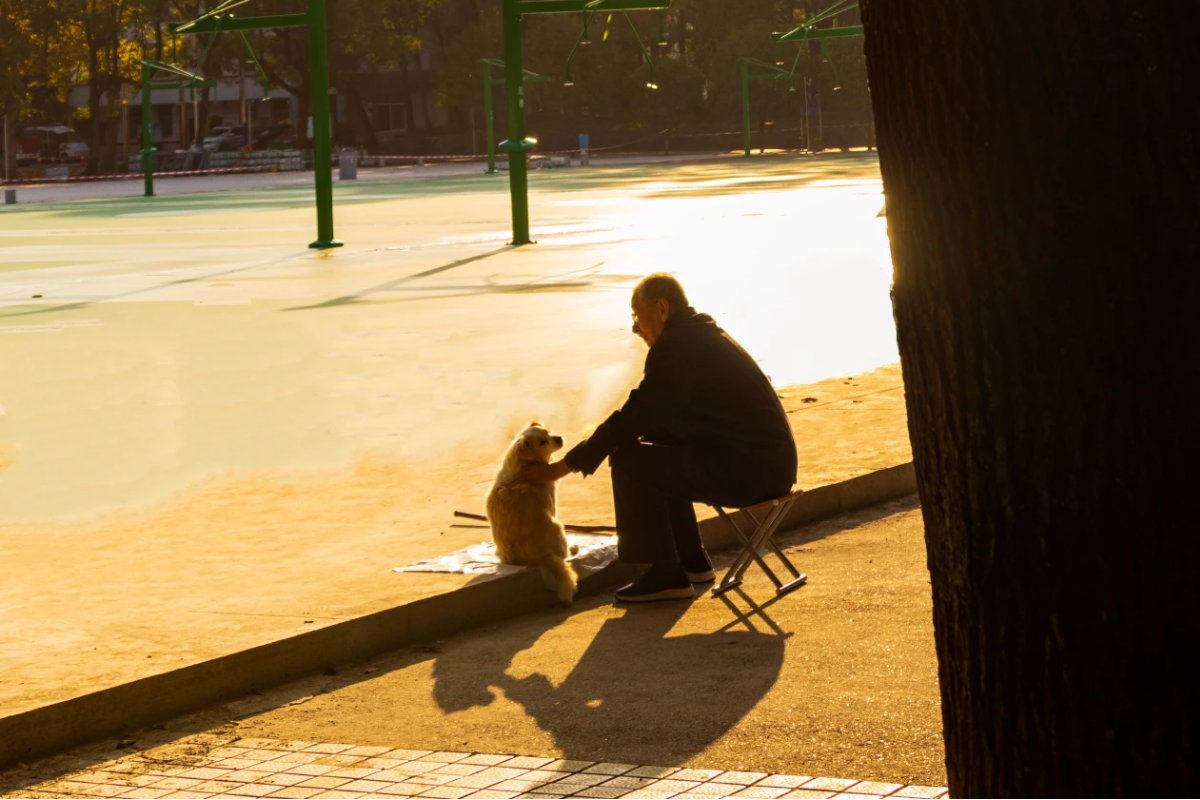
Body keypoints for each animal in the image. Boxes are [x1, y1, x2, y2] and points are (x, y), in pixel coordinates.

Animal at [482, 422, 576, 604]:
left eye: (548, 432)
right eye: (542, 443)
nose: (559, 438)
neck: (523, 465)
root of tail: (540, 557)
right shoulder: (551, 505)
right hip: (557, 526)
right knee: (563, 553)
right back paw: (573, 548)